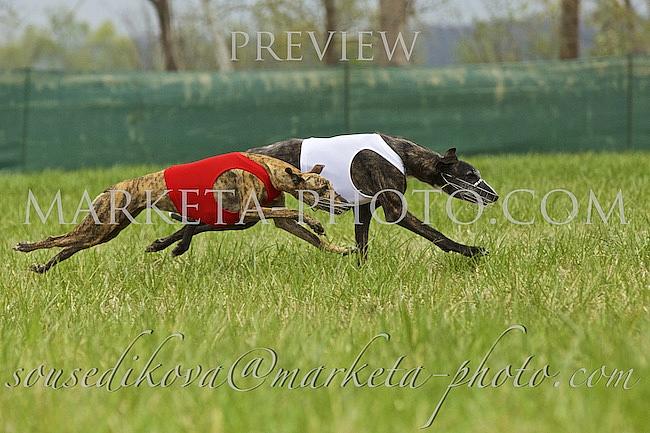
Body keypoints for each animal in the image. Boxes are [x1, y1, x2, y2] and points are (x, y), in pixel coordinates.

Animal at [14, 152, 352, 273]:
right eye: (324, 187)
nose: (346, 204)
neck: (268, 169)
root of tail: (113, 186)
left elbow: (308, 235)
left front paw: (339, 249)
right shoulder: (249, 210)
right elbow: (292, 213)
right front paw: (315, 222)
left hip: (104, 230)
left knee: (68, 246)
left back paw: (42, 267)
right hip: (102, 225)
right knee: (57, 239)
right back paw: (26, 246)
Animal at [145, 133, 499, 260]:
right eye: (471, 175)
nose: (494, 196)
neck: (402, 154)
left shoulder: (364, 209)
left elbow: (361, 242)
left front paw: (359, 267)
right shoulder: (393, 207)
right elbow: (436, 234)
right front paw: (470, 250)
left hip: (249, 214)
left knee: (199, 223)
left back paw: (166, 243)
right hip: (248, 211)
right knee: (199, 222)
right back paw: (175, 244)